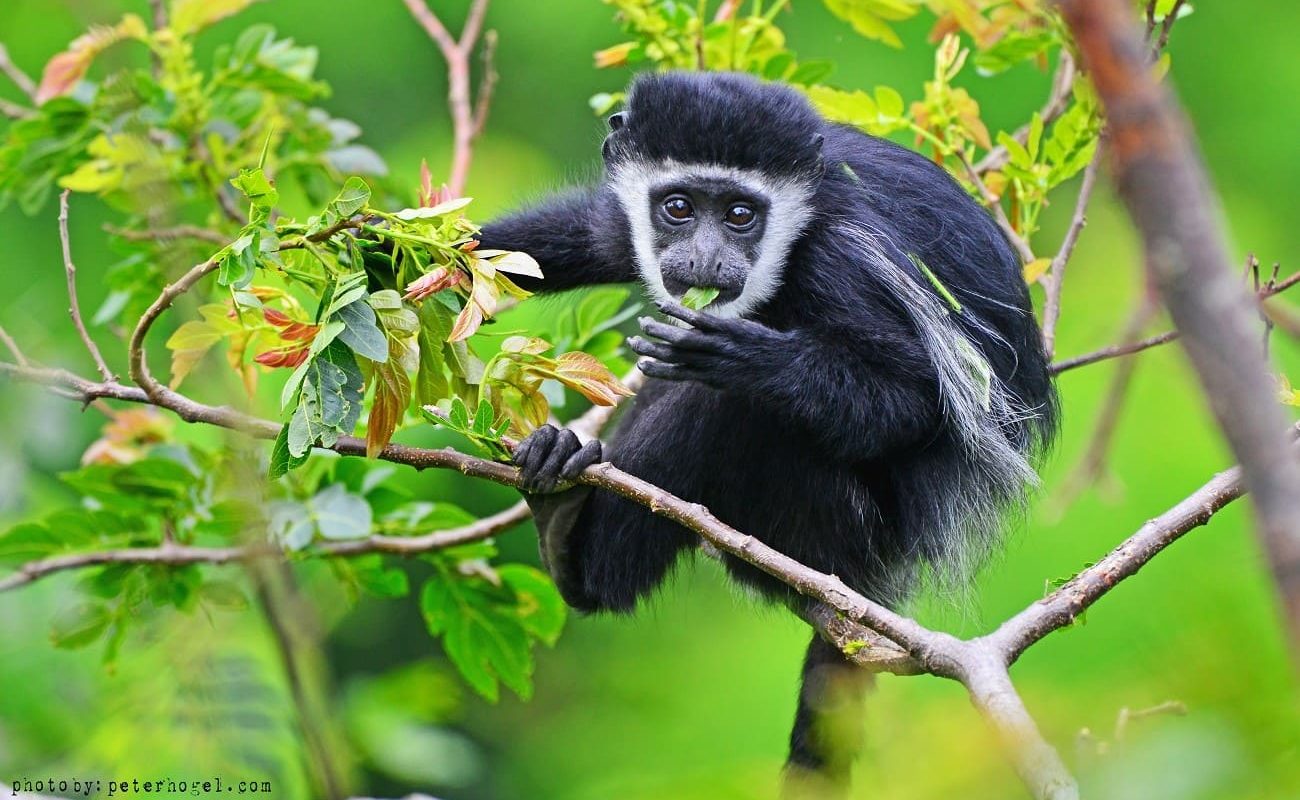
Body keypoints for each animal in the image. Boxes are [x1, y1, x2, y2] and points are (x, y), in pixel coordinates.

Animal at [476, 71, 1058, 791]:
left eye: (739, 215)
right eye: (677, 207)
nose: (705, 260)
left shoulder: (840, 259)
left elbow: (914, 398)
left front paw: (744, 358)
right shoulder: (633, 223)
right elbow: (569, 239)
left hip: (828, 523)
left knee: (722, 410)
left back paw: (578, 555)